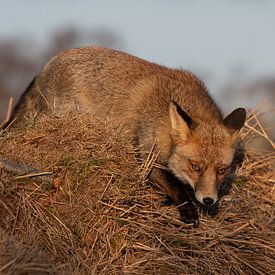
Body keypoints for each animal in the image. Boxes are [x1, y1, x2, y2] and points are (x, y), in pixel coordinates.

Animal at [4, 47, 246, 224]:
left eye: (221, 170)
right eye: (195, 167)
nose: (209, 200)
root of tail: (49, 63)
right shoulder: (148, 157)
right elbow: (176, 186)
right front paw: (187, 209)